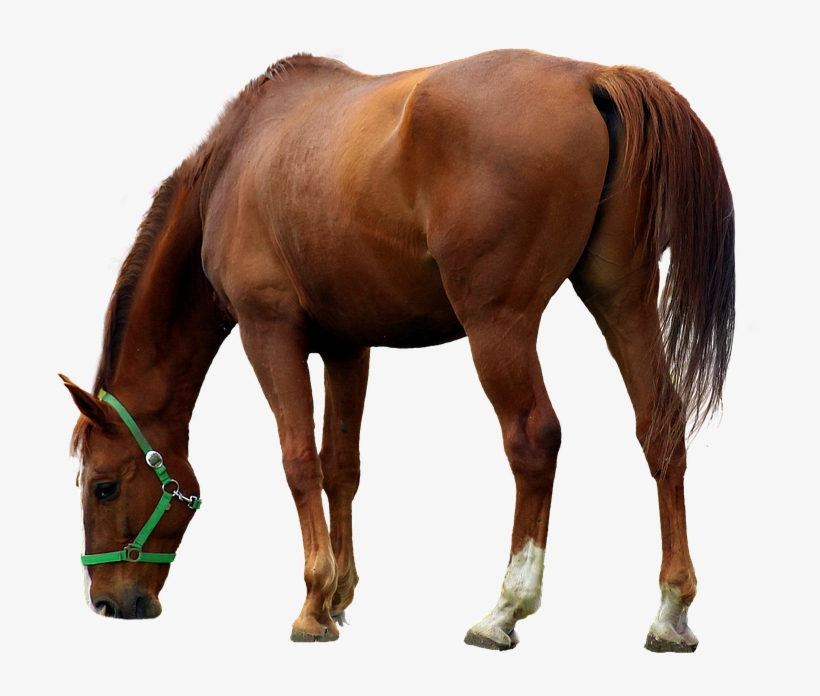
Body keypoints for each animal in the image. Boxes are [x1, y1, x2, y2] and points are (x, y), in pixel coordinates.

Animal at [62, 49, 734, 651]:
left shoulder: (268, 332)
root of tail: (591, 77)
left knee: (534, 439)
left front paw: (311, 604)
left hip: (500, 324)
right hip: (621, 300)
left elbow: (299, 462)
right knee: (660, 428)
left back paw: (505, 608)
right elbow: (341, 466)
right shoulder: (346, 346)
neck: (235, 168)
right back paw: (670, 612)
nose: (107, 602)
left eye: (103, 487)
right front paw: (338, 596)